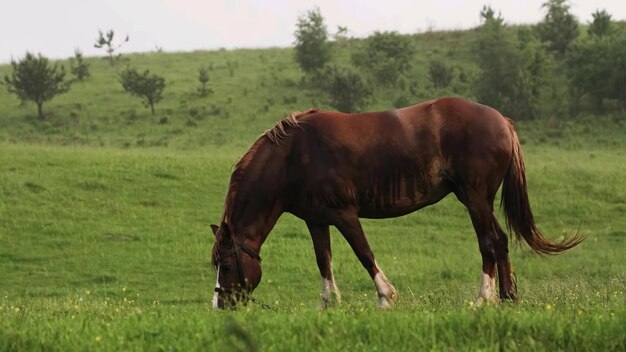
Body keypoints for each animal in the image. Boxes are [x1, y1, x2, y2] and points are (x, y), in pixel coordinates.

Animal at [208, 97, 580, 310]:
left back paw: (482, 300)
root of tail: (502, 121)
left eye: (226, 265)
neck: (293, 156)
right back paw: (507, 298)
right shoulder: (317, 220)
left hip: (475, 198)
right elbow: (323, 261)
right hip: (480, 201)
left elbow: (364, 253)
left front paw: (386, 297)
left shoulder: (345, 214)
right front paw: (329, 306)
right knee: (500, 242)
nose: (220, 305)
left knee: (489, 243)